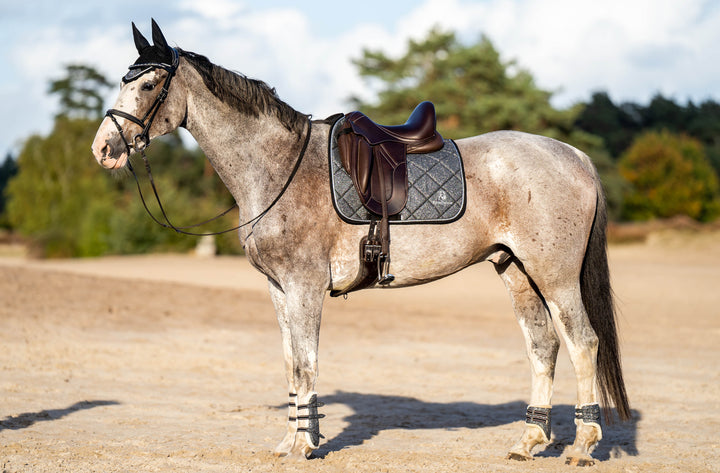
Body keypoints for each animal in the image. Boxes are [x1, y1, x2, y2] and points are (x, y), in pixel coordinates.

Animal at [91, 21, 632, 464]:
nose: (103, 149)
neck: (279, 167)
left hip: (554, 274)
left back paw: (583, 446)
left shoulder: (305, 287)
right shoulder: (278, 290)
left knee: (583, 342)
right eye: (123, 80)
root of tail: (574, 156)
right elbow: (290, 365)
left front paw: (306, 445)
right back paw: (529, 441)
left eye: (149, 84)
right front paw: (288, 441)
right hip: (516, 271)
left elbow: (306, 364)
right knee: (544, 346)